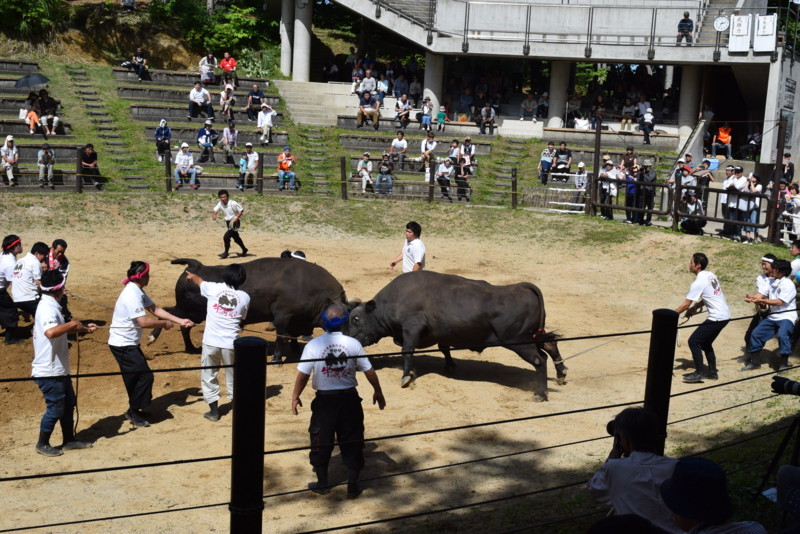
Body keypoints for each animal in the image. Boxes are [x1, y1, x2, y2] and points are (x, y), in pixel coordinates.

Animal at [149, 258, 346, 358]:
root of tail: (195, 266)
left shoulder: (296, 320)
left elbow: (293, 336)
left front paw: (297, 349)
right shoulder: (282, 316)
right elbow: (282, 337)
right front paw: (277, 358)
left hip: (190, 312)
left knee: (179, 321)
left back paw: (189, 348)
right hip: (191, 311)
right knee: (172, 317)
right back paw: (158, 339)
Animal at [346, 272, 564, 402]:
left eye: (355, 318)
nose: (347, 341)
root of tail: (521, 287)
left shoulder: (412, 328)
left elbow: (407, 351)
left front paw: (407, 377)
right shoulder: (442, 332)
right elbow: (444, 348)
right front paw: (450, 365)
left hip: (519, 341)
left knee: (539, 359)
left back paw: (540, 393)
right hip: (534, 335)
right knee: (551, 345)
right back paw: (561, 374)